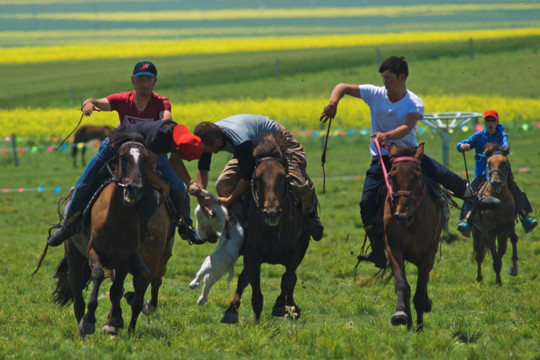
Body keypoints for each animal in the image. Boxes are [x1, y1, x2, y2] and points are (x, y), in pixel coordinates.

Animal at [221, 134, 310, 324]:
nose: (272, 213)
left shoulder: (296, 251)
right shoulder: (252, 253)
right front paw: (231, 311)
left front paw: (286, 307)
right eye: (258, 178)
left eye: (283, 177)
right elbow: (245, 279)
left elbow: (288, 279)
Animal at [382, 143, 446, 332]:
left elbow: (420, 290)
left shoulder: (427, 252)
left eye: (418, 175)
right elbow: (403, 284)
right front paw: (401, 316)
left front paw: (419, 327)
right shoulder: (394, 249)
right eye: (391, 175)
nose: (403, 216)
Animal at [470, 142, 516, 286]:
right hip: (477, 232)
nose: (495, 183)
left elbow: (511, 241)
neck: (499, 201)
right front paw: (498, 283)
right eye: (489, 163)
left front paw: (512, 268)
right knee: (479, 255)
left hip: (500, 234)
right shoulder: (489, 233)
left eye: (504, 163)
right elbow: (495, 259)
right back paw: (478, 278)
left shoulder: (507, 228)